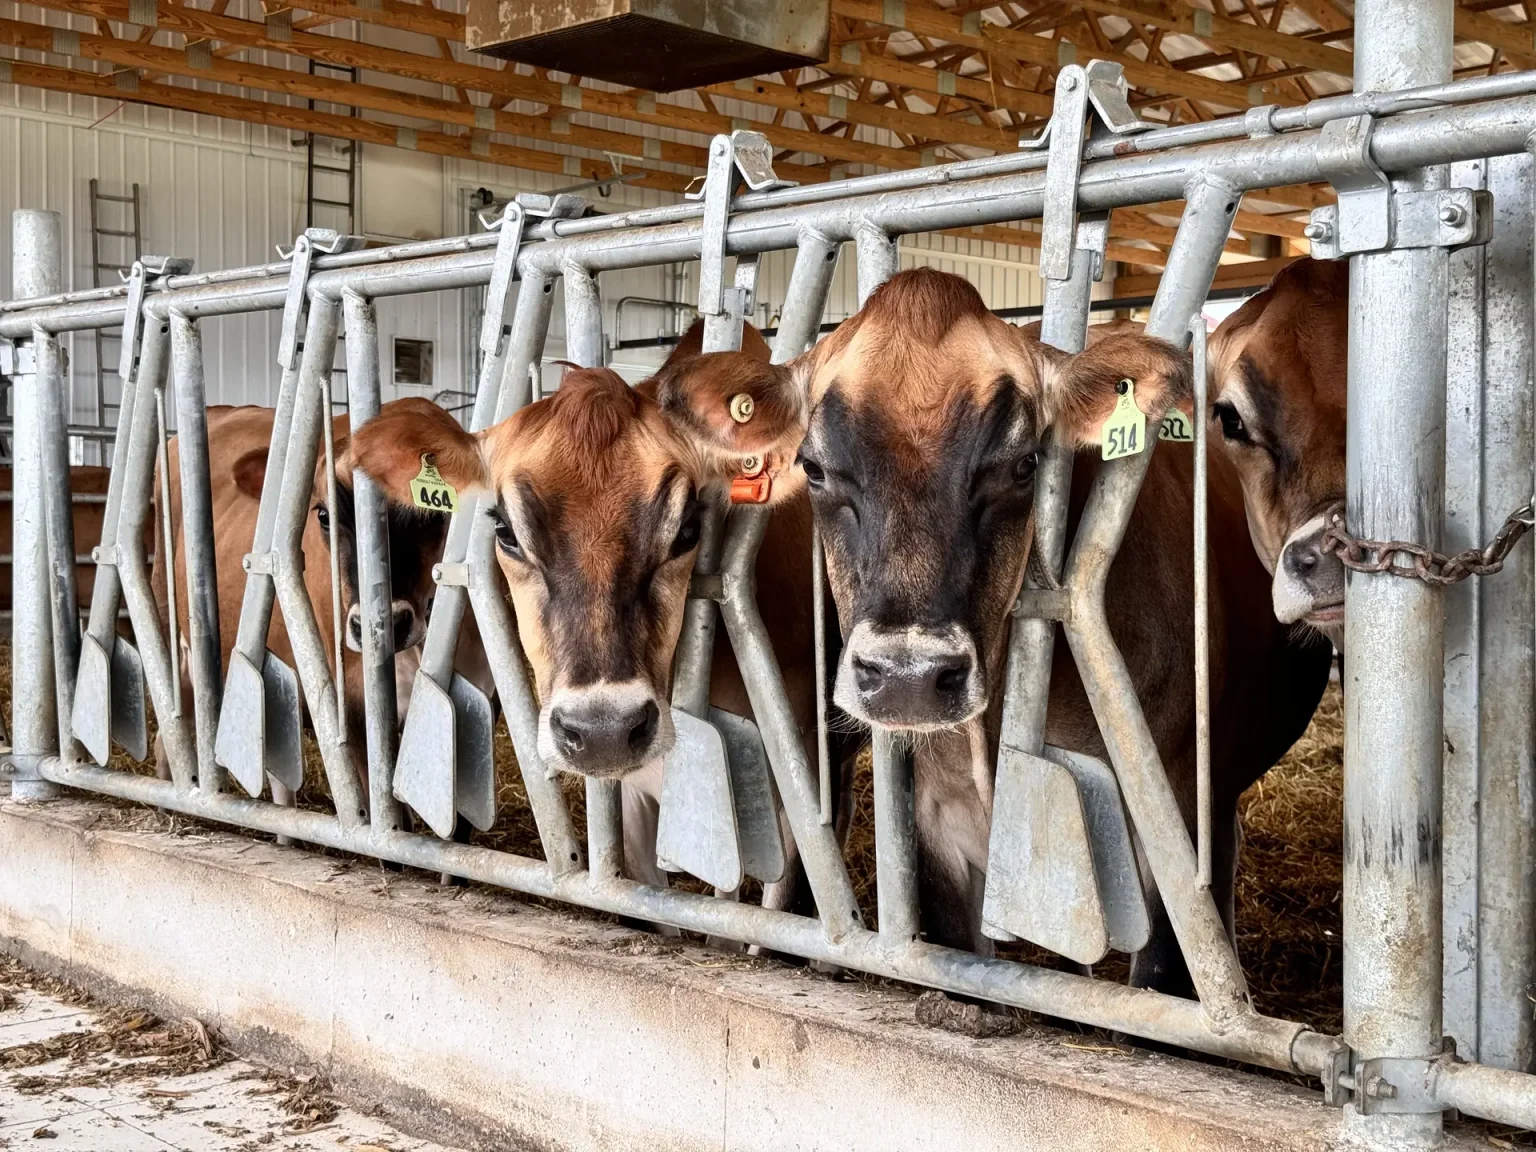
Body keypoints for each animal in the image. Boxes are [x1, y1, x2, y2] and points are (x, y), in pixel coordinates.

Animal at [769, 268, 1331, 996]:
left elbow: (1169, 971)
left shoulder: (1175, 817)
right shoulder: (938, 833)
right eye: (812, 468)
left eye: (1022, 466)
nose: (908, 677)